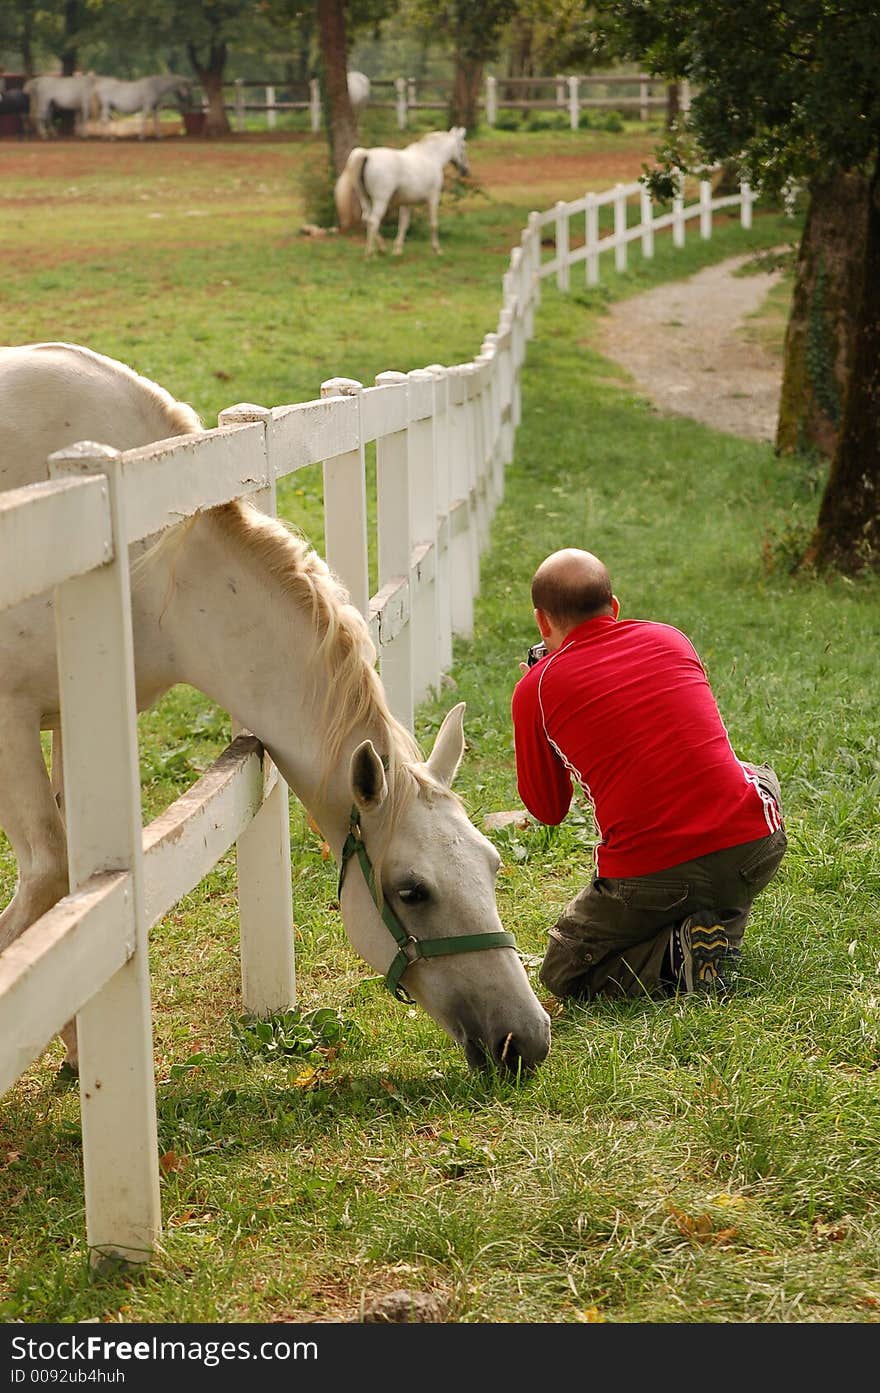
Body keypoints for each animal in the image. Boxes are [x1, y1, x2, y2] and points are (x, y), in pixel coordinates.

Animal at [0, 339, 551, 1075]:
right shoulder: (12, 717)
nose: (527, 1039)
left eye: (490, 863)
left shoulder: (74, 713)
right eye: (413, 890)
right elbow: (48, 877)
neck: (146, 566)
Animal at [332, 126, 467, 257]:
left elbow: (403, 225)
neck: (430, 157)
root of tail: (367, 154)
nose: (465, 171)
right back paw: (370, 253)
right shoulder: (433, 198)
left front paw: (397, 250)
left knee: (366, 219)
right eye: (463, 146)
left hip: (364, 198)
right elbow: (433, 224)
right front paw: (437, 250)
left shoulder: (406, 203)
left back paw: (382, 248)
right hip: (381, 201)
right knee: (373, 221)